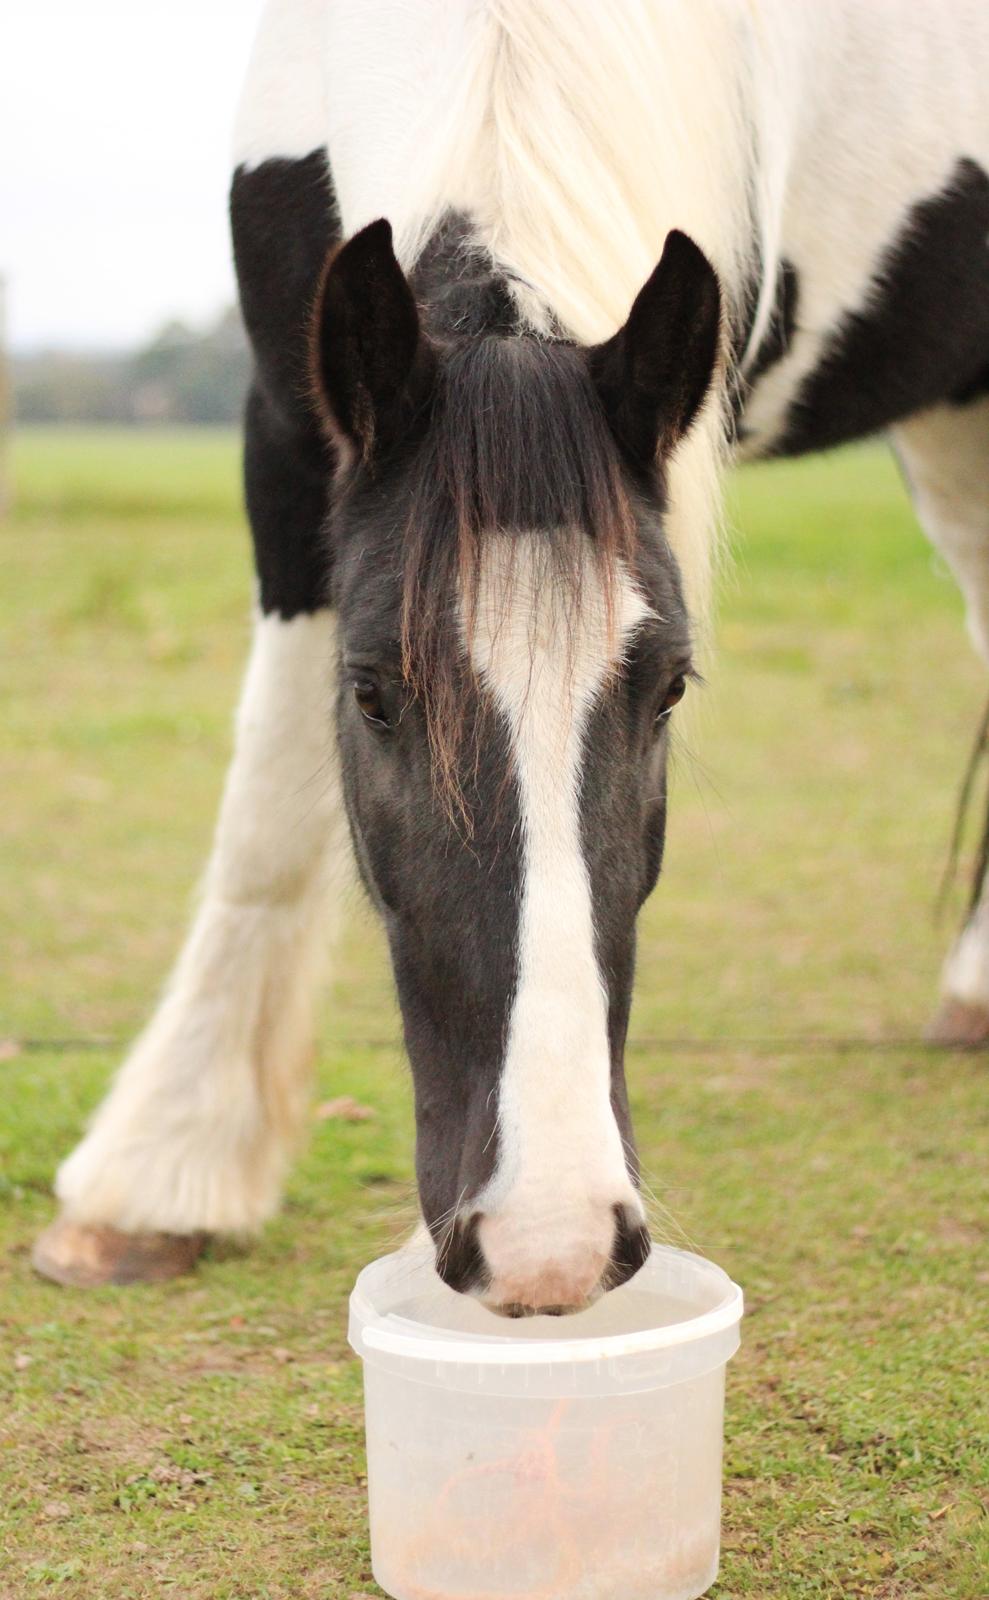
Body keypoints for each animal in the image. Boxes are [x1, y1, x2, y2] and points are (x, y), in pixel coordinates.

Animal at [34, 3, 985, 1312]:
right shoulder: (286, 431)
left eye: (669, 687)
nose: (550, 1239)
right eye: (370, 691)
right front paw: (160, 1177)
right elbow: (266, 824)